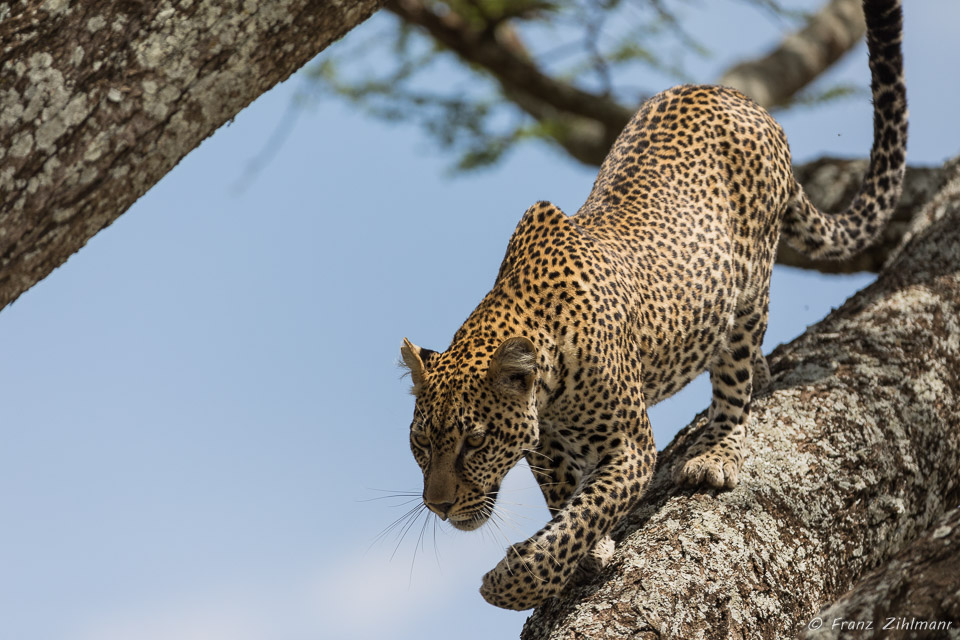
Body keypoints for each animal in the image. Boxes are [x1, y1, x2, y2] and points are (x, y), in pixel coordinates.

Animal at [398, 0, 908, 608]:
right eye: (421, 443)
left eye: (474, 441)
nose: (439, 506)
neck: (548, 383)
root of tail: (742, 99)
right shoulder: (545, 452)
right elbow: (565, 500)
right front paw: (585, 550)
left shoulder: (631, 449)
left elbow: (586, 512)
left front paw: (516, 581)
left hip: (747, 290)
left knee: (735, 386)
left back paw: (716, 453)